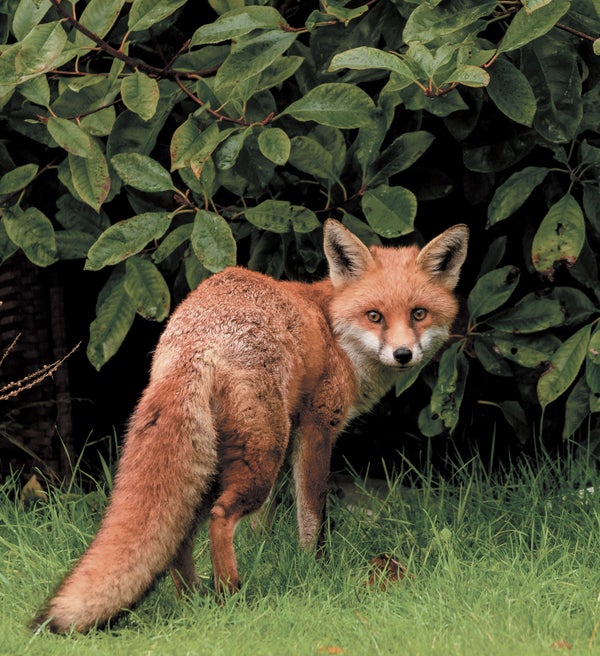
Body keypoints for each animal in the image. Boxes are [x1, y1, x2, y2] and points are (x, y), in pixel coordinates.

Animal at [35, 219, 468, 632]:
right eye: (374, 316)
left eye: (418, 313)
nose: (403, 354)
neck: (333, 331)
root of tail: (198, 339)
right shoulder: (316, 427)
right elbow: (311, 516)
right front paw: (314, 570)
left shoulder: (293, 433)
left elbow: (264, 524)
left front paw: (266, 553)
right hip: (261, 452)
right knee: (221, 517)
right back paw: (229, 597)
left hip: (221, 458)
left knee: (179, 536)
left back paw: (192, 602)